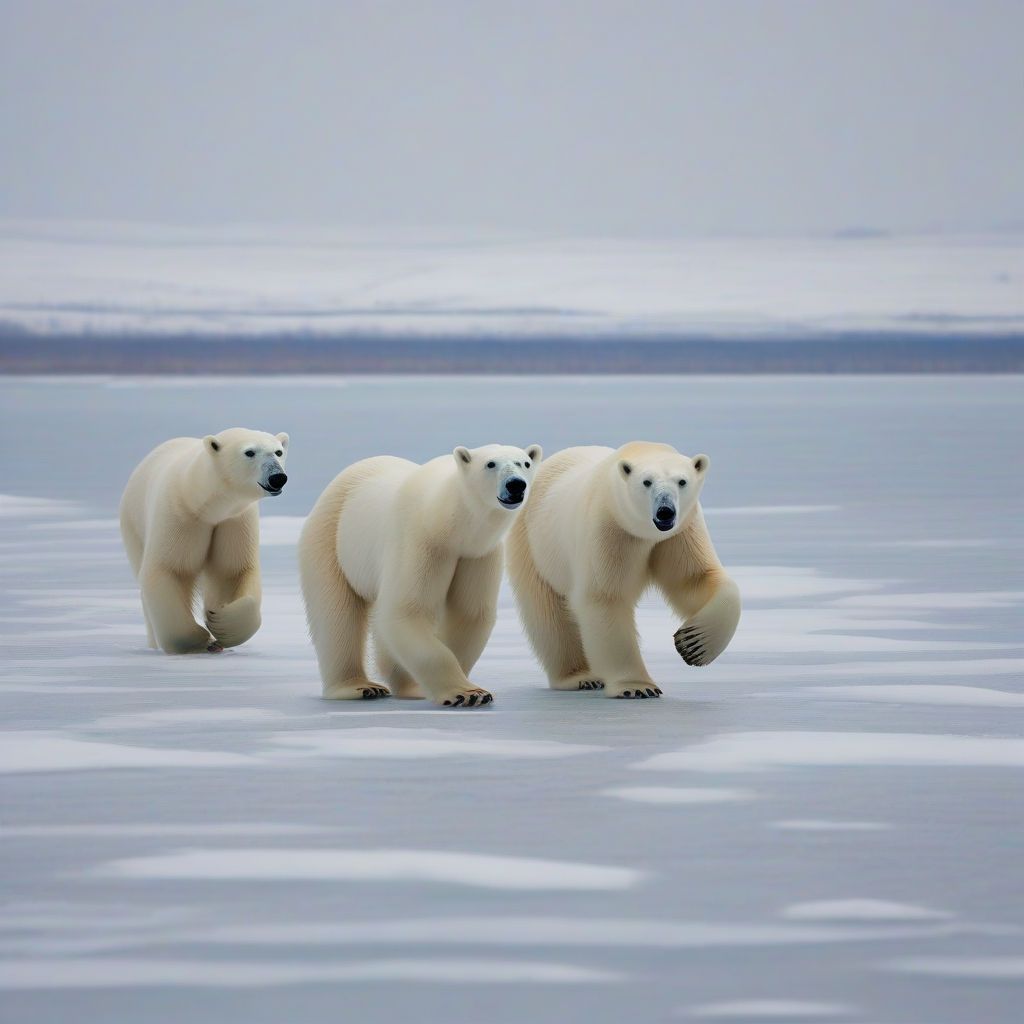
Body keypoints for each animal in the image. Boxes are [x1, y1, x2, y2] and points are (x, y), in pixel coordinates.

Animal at [118, 428, 288, 651]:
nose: (278, 477)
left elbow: (232, 571)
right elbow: (169, 568)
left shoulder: (233, 521)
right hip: (134, 524)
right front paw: (199, 639)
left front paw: (221, 622)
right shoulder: (181, 516)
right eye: (249, 452)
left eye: (278, 452)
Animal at [299, 444, 544, 708]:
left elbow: (469, 613)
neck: (446, 520)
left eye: (525, 463)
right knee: (336, 614)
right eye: (490, 464)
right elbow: (406, 611)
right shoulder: (420, 539)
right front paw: (467, 694)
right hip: (330, 536)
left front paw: (457, 689)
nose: (516, 484)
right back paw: (360, 687)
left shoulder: (477, 553)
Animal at [507, 444, 741, 700]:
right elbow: (605, 598)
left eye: (682, 481)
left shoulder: (679, 533)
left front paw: (694, 644)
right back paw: (580, 677)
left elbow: (694, 579)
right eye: (647, 482)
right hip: (536, 546)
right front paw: (638, 686)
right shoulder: (609, 528)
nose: (665, 511)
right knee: (548, 613)